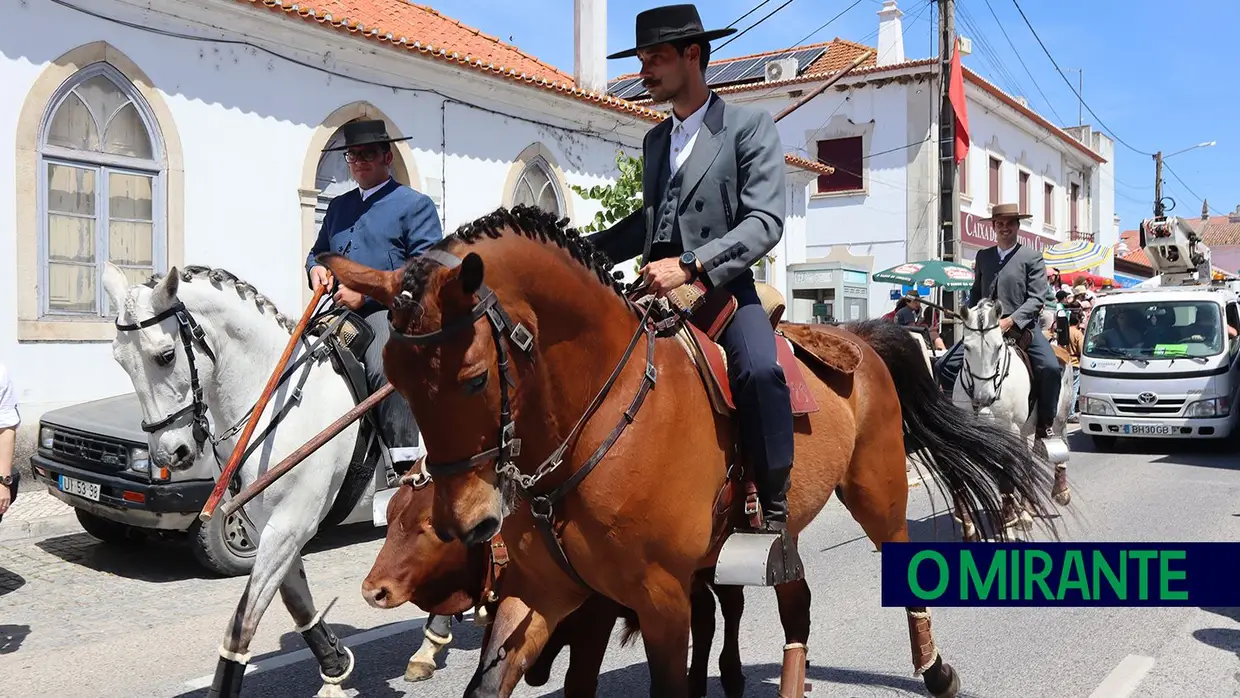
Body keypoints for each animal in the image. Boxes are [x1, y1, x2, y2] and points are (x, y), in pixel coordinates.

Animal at [99, 264, 453, 698]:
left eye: (165, 356)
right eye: (120, 359)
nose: (171, 453)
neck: (271, 402)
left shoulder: (288, 525)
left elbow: (241, 624)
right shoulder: (269, 526)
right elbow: (295, 599)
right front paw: (335, 665)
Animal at [322, 205, 1056, 698]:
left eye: (474, 376)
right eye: (394, 372)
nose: (468, 519)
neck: (592, 419)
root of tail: (861, 337)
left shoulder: (661, 598)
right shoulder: (546, 591)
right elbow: (497, 676)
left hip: (878, 495)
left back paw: (936, 670)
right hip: (783, 533)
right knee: (797, 605)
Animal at [952, 297, 1071, 538]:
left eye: (998, 347)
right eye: (967, 347)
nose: (983, 399)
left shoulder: (1009, 430)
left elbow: (1009, 473)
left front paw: (1010, 520)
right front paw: (970, 522)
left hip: (1057, 418)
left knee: (1059, 443)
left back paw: (1055, 494)